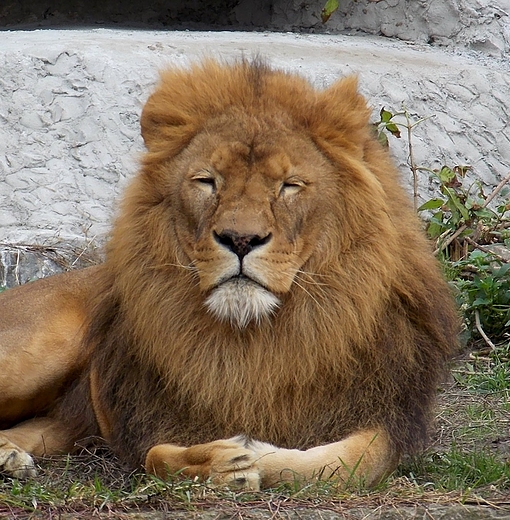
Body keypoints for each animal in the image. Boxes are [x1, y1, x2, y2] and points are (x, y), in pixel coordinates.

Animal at [0, 59, 458, 490]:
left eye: (289, 185)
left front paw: (251, 453)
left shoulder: (385, 415)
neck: (256, 338)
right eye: (207, 181)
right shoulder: (146, 421)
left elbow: (342, 464)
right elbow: (155, 455)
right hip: (43, 347)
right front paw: (217, 461)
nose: (240, 239)